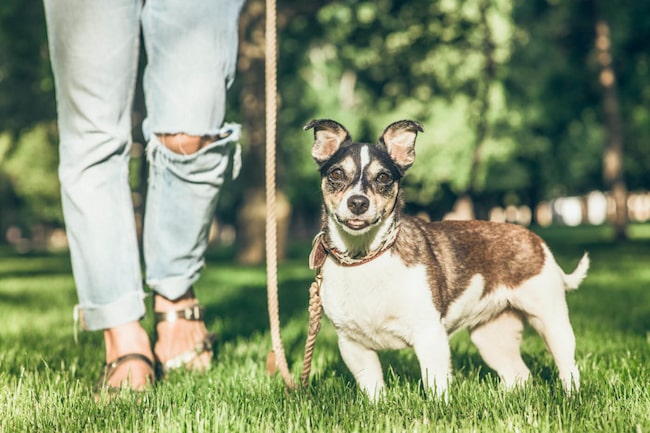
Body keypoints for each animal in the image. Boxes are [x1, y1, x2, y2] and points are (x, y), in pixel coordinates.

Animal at [304, 118, 588, 398]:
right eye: (336, 174)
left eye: (383, 177)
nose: (358, 202)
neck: (365, 257)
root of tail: (536, 240)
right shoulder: (353, 347)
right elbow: (374, 391)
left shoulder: (430, 336)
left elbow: (436, 387)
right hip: (492, 336)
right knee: (519, 375)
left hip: (551, 321)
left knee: (567, 366)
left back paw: (570, 396)